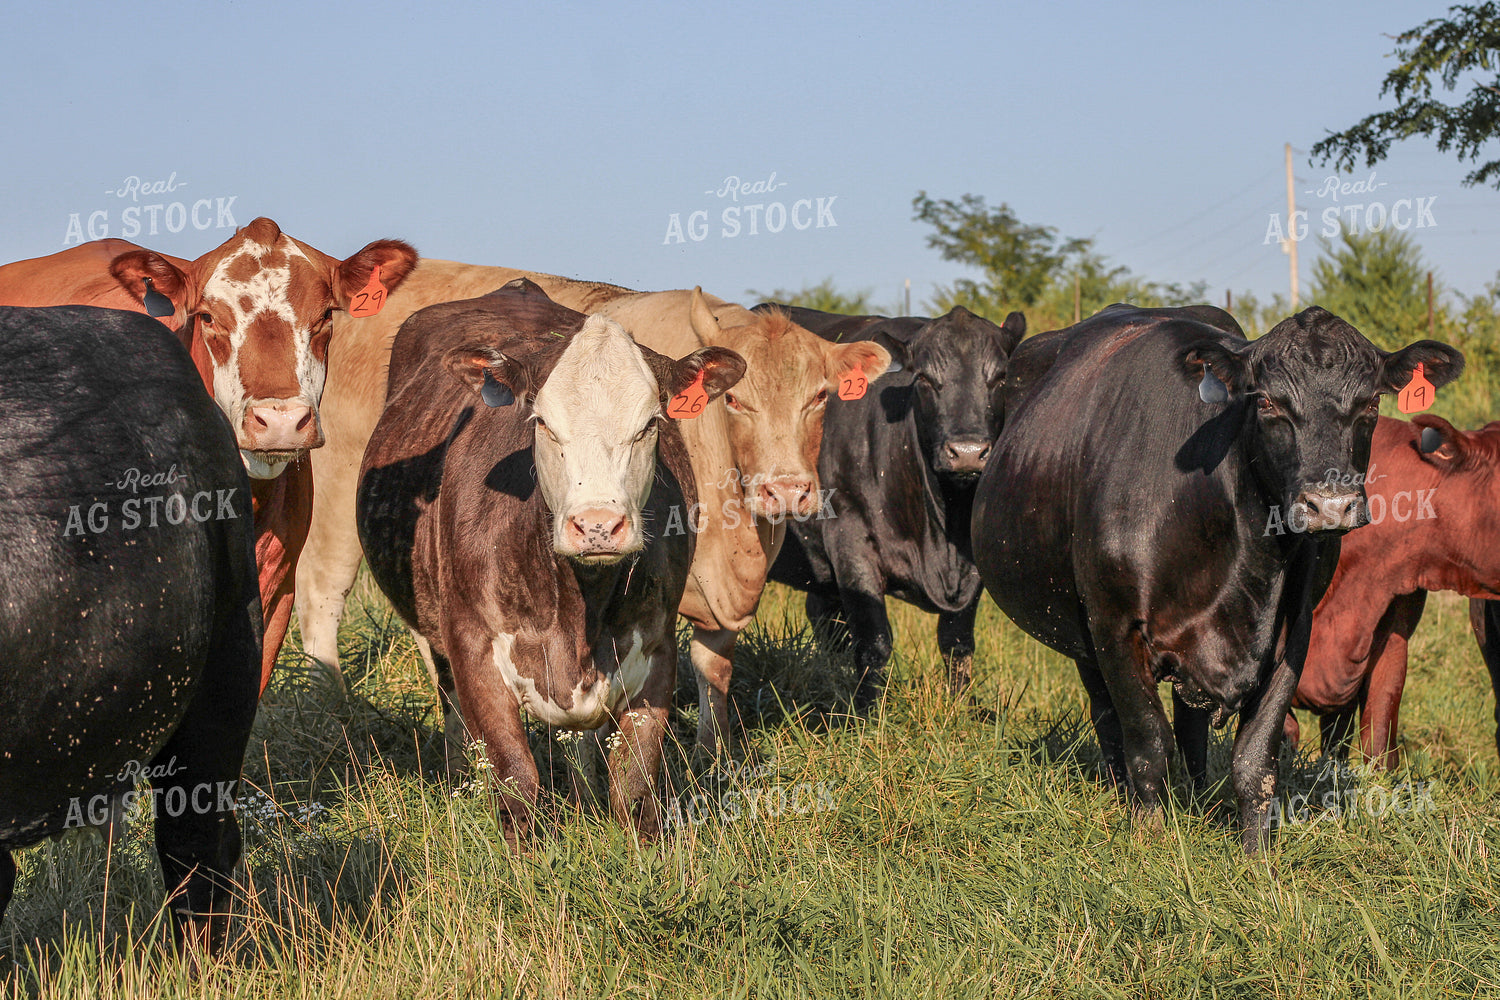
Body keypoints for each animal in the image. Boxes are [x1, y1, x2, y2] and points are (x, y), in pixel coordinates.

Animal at [297, 261, 889, 759]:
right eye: (737, 400)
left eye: (820, 397)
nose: (785, 491)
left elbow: (709, 672)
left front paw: (713, 754)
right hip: (339, 494)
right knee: (327, 594)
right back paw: (338, 708)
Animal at [355, 280, 744, 844]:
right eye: (542, 422)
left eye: (651, 424)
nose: (598, 524)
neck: (577, 605)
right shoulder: (473, 645)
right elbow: (516, 777)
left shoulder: (657, 645)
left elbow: (634, 784)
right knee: (453, 707)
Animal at [758, 303, 1026, 704]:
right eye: (926, 380)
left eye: (1000, 378)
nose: (967, 452)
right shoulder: (849, 540)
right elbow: (874, 643)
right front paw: (868, 711)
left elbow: (958, 644)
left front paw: (962, 707)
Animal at [971, 304, 1462, 851]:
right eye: (1267, 402)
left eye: (1371, 403)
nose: (1330, 504)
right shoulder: (1113, 624)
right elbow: (1147, 740)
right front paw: (1150, 839)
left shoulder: (1294, 631)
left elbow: (1255, 757)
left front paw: (1256, 855)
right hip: (1081, 627)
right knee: (1110, 717)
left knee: (1190, 724)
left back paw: (1197, 793)